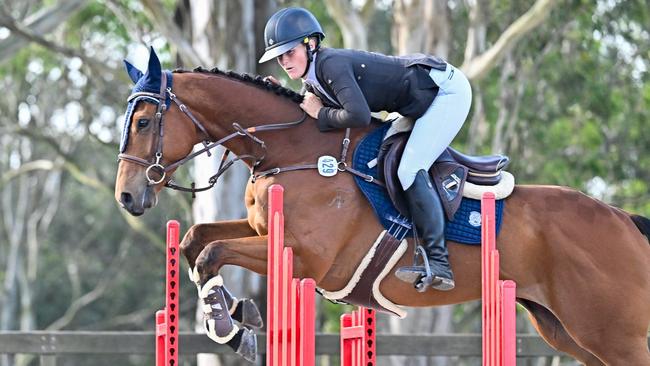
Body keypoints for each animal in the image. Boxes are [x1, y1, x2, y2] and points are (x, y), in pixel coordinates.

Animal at [115, 49, 648, 366]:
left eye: (143, 122)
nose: (126, 197)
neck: (291, 151)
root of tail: (623, 220)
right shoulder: (260, 230)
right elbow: (196, 242)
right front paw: (230, 317)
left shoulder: (305, 259)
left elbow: (211, 253)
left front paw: (229, 325)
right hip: (569, 332)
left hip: (613, 335)